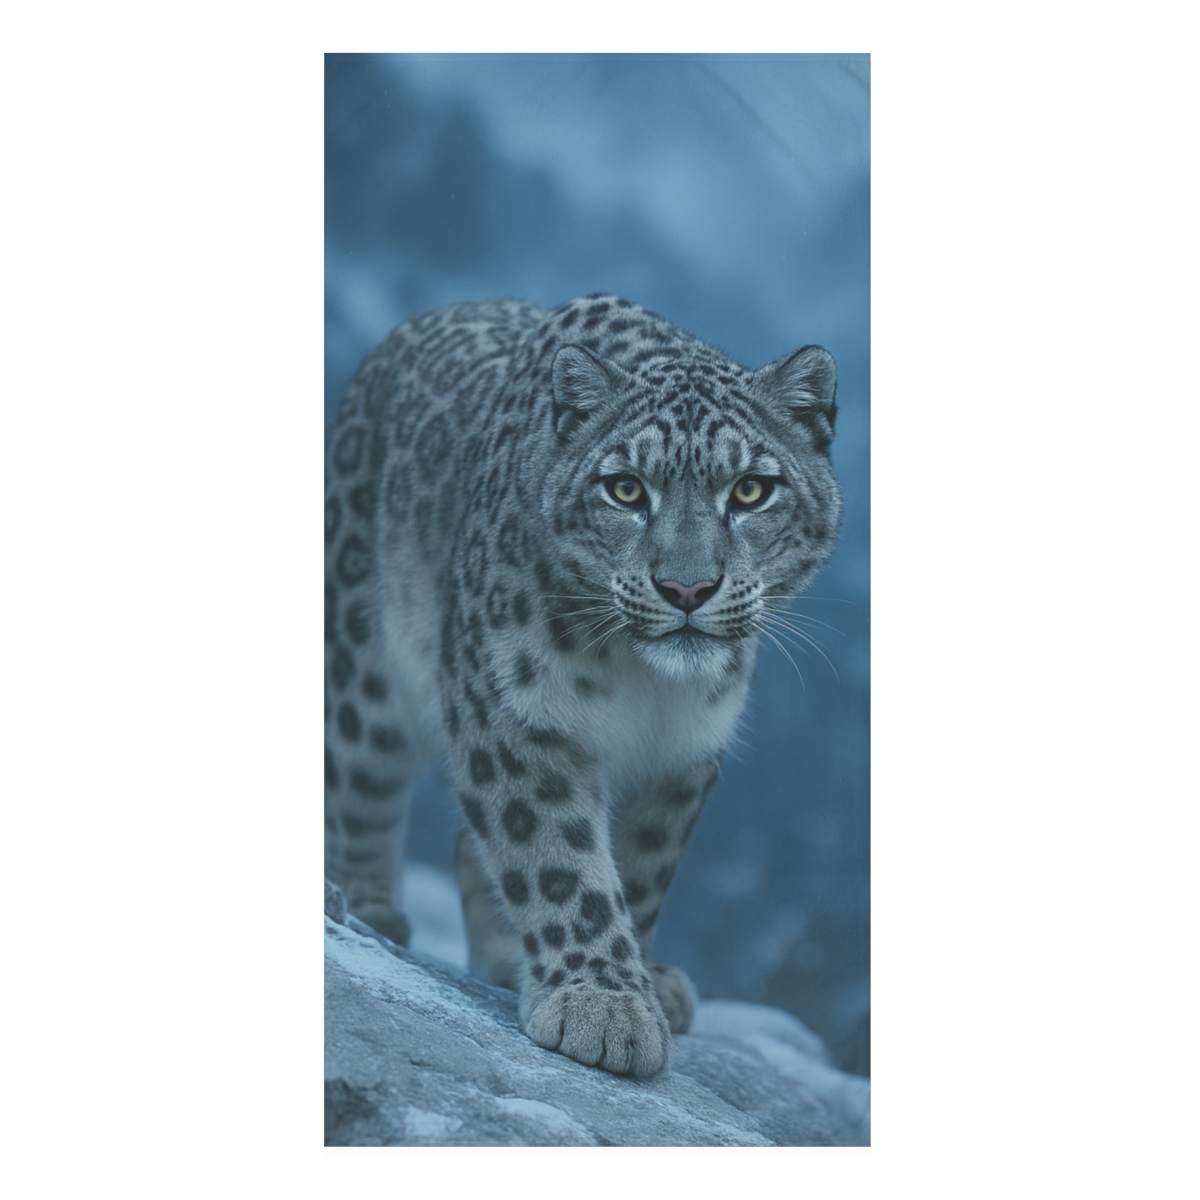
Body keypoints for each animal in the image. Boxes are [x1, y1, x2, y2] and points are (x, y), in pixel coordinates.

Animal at [324, 294, 841, 1078]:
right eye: (625, 488)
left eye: (751, 489)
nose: (686, 588)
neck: (645, 686)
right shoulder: (514, 710)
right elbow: (556, 854)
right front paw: (603, 1005)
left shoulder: (685, 754)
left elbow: (640, 867)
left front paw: (633, 984)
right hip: (359, 667)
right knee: (357, 785)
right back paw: (365, 907)